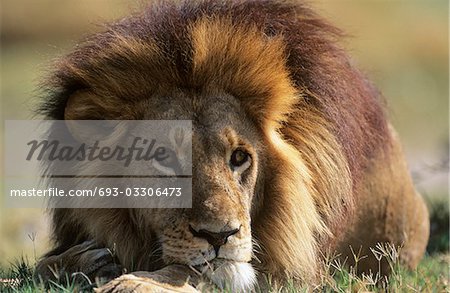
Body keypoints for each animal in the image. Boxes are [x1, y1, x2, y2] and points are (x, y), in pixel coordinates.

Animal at [34, 0, 428, 290]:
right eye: (163, 158)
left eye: (239, 157)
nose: (219, 235)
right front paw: (80, 262)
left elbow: (194, 268)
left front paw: (134, 282)